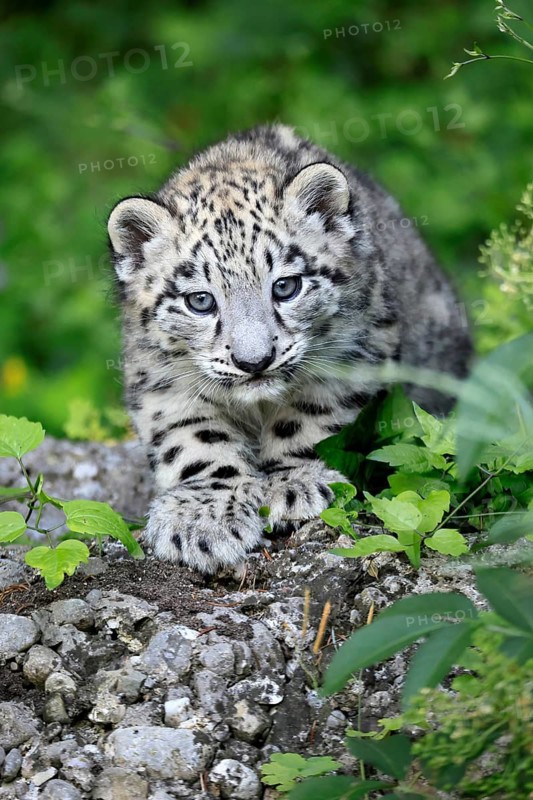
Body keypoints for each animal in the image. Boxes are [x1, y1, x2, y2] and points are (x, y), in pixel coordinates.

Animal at [107, 123, 472, 573]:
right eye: (201, 300)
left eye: (285, 286)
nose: (254, 361)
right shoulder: (160, 379)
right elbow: (192, 438)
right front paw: (202, 518)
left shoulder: (355, 352)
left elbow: (309, 418)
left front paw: (293, 484)